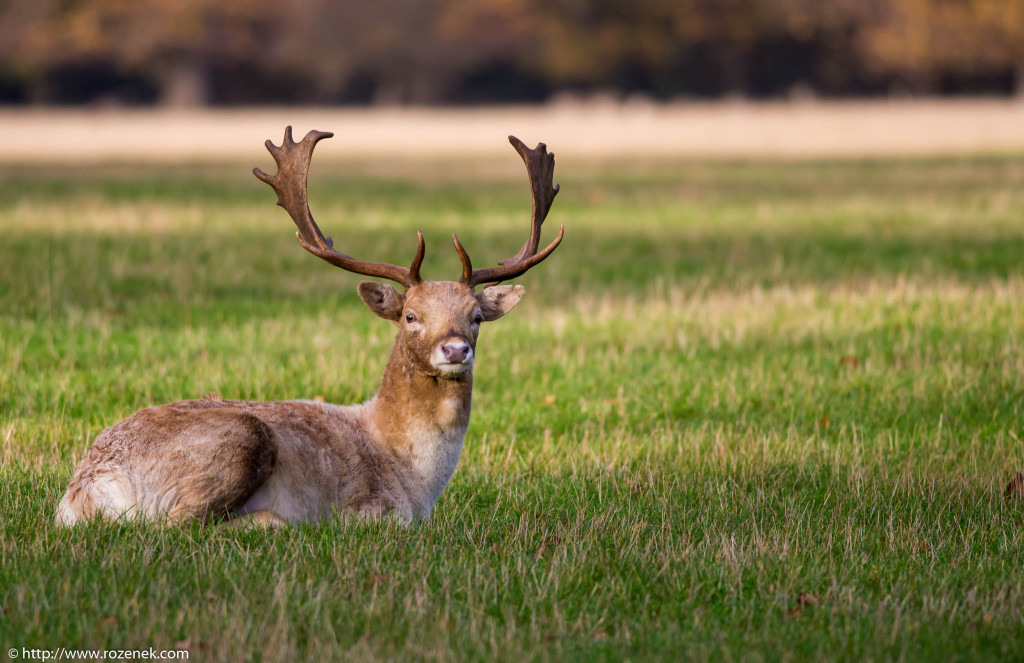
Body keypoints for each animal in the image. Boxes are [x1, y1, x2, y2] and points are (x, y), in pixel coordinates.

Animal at [55, 126, 561, 528]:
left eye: (476, 316)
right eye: (410, 315)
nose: (455, 349)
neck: (414, 481)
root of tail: (83, 491)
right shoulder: (370, 510)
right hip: (241, 439)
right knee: (175, 525)